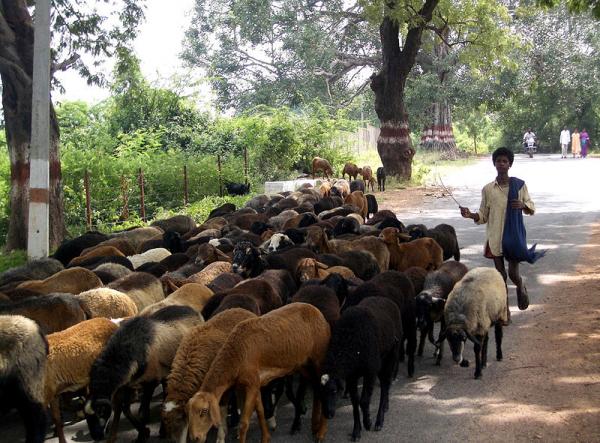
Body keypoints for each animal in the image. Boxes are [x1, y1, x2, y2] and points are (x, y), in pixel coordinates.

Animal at [85, 306, 204, 443]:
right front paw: (143, 432)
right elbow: (124, 408)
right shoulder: (127, 383)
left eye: (101, 412)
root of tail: (190, 309)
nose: (96, 437)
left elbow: (142, 413)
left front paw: (142, 436)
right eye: (86, 417)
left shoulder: (150, 381)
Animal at [161, 308, 256, 443]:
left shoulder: (222, 389)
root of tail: (241, 309)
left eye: (181, 419)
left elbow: (220, 411)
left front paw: (220, 437)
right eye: (166, 424)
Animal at [186, 304, 328, 443]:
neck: (236, 355)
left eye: (204, 411)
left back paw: (320, 434)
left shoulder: (251, 383)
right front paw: (266, 437)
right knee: (317, 388)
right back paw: (314, 426)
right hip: (303, 364)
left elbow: (244, 423)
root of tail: (316, 310)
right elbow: (260, 411)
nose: (195, 438)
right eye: (188, 413)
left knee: (324, 390)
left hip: (319, 358)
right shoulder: (255, 383)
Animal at [322, 296, 400, 442]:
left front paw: (368, 422)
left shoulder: (370, 371)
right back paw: (385, 407)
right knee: (385, 385)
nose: (327, 414)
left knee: (385, 385)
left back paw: (379, 421)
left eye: (334, 390)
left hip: (389, 357)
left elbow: (363, 401)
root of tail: (387, 299)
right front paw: (356, 431)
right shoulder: (351, 377)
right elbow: (355, 403)